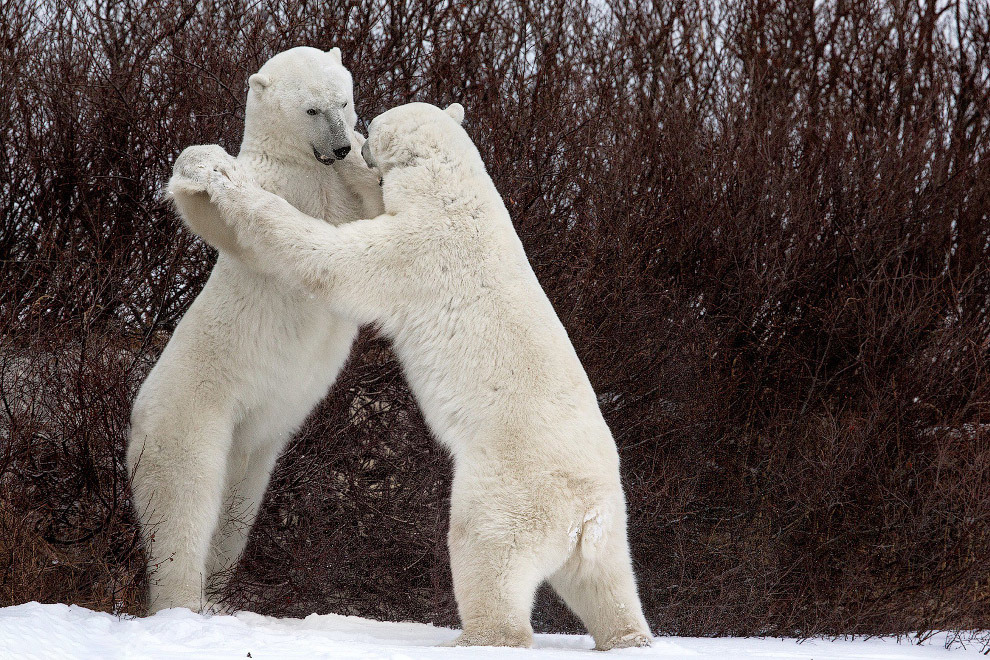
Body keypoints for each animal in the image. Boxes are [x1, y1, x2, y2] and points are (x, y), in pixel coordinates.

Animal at [126, 46, 382, 612]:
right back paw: (184, 600)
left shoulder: (337, 192)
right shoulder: (276, 185)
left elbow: (376, 216)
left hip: (256, 446)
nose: (338, 145)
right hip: (192, 414)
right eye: (311, 109)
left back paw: (220, 592)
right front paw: (205, 165)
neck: (306, 167)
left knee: (237, 511)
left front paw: (366, 155)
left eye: (343, 101)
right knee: (184, 502)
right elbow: (221, 217)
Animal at [170, 100, 652, 648]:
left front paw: (224, 179)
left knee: (486, 551)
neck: (456, 192)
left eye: (374, 125)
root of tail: (583, 513)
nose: (355, 141)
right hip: (610, 527)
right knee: (607, 583)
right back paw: (628, 636)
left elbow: (332, 259)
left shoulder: (418, 250)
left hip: (509, 491)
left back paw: (476, 636)